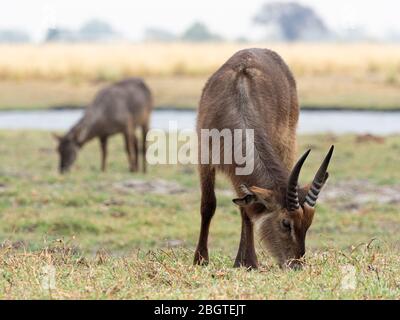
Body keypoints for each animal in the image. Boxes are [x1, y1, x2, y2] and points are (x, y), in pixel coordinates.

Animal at [192, 48, 332, 268]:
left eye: (309, 223)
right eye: (286, 223)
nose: (296, 265)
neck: (238, 106)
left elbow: (246, 210)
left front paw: (247, 262)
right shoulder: (204, 158)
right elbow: (208, 205)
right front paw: (200, 259)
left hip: (287, 144)